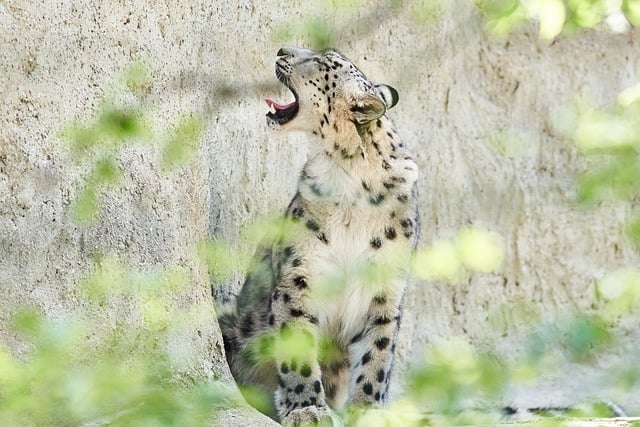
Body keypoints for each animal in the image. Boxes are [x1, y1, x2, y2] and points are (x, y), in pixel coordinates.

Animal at [218, 46, 420, 426]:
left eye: (322, 61)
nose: (282, 49)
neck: (351, 179)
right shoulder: (301, 274)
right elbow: (297, 347)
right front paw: (307, 409)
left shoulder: (384, 289)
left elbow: (376, 355)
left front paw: (367, 411)